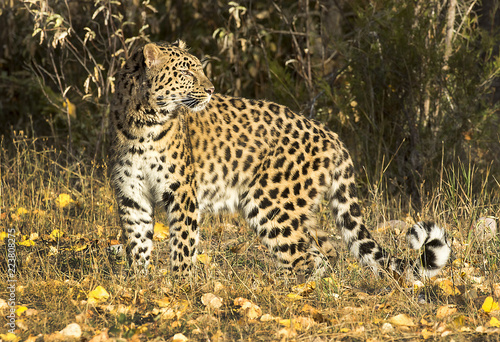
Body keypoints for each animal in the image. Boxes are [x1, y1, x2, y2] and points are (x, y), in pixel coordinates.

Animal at [110, 40, 454, 284]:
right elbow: (137, 240)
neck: (143, 122)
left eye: (198, 69)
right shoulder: (132, 193)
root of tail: (331, 135)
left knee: (304, 257)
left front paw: (181, 287)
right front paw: (140, 283)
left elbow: (182, 242)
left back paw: (287, 293)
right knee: (325, 250)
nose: (210, 89)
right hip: (297, 208)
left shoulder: (180, 192)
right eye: (185, 73)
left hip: (270, 203)